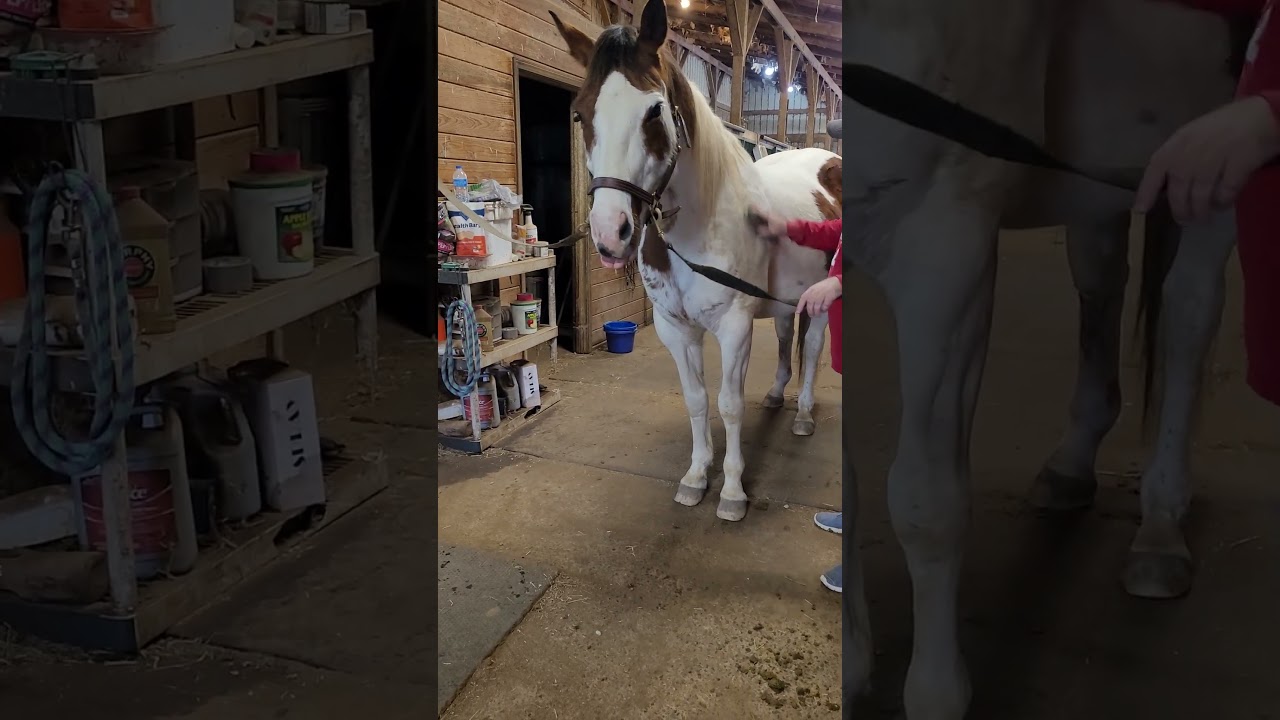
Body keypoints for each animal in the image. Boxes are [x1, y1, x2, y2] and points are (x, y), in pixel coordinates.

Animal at [549, 0, 840, 521]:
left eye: (654, 110)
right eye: (580, 113)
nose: (610, 234)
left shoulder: (734, 326)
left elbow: (728, 403)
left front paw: (732, 491)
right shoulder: (675, 328)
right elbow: (697, 400)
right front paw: (696, 476)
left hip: (821, 299)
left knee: (810, 351)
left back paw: (804, 414)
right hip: (786, 301)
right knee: (787, 338)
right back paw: (775, 396)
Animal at [843, 0, 1241, 716]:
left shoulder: (944, 243)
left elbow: (926, 502)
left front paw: (936, 692)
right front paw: (853, 664)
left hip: (1212, 155)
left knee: (1190, 316)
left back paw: (1161, 530)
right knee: (1102, 279)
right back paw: (1070, 468)